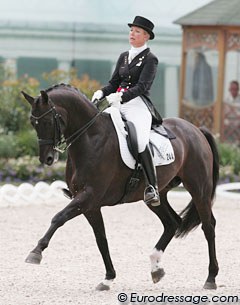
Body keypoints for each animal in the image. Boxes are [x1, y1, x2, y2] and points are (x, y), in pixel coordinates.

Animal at [21, 83, 218, 290]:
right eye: (33, 123)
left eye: (48, 121)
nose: (47, 158)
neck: (91, 138)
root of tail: (196, 129)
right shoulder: (90, 205)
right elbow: (101, 238)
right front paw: (108, 278)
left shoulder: (88, 196)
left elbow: (58, 218)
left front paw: (36, 252)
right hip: (157, 195)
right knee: (172, 223)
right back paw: (156, 268)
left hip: (199, 189)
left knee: (208, 226)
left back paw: (210, 278)